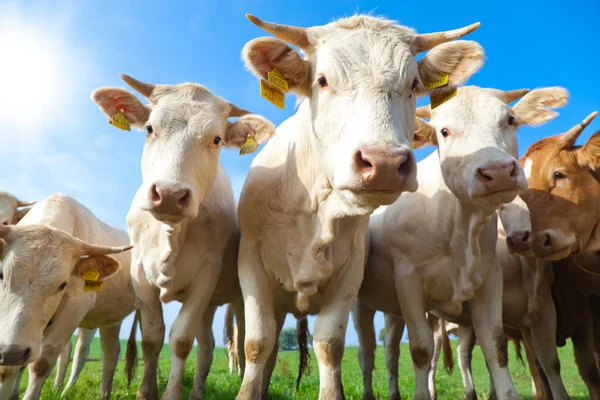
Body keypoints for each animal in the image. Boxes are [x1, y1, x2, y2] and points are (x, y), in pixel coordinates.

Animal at [0, 192, 135, 398]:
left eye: (62, 284)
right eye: (1, 274)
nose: (13, 353)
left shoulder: (73, 310)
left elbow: (41, 363)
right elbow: (9, 369)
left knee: (108, 355)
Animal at [92, 75, 276, 400]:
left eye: (216, 140)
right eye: (150, 128)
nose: (169, 194)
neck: (171, 234)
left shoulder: (206, 277)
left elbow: (180, 339)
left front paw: (171, 394)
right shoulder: (140, 273)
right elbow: (153, 337)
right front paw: (146, 392)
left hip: (241, 295)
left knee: (239, 342)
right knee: (206, 347)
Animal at [237, 13, 486, 400]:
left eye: (413, 84)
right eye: (322, 80)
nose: (383, 162)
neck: (313, 208)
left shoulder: (350, 273)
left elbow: (330, 344)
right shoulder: (250, 262)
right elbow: (258, 342)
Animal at [352, 85, 568, 400]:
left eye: (510, 120)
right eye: (444, 131)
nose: (498, 171)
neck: (458, 223)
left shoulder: (490, 278)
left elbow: (495, 345)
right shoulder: (408, 281)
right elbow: (421, 350)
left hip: (394, 312)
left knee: (391, 350)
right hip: (359, 302)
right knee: (367, 353)